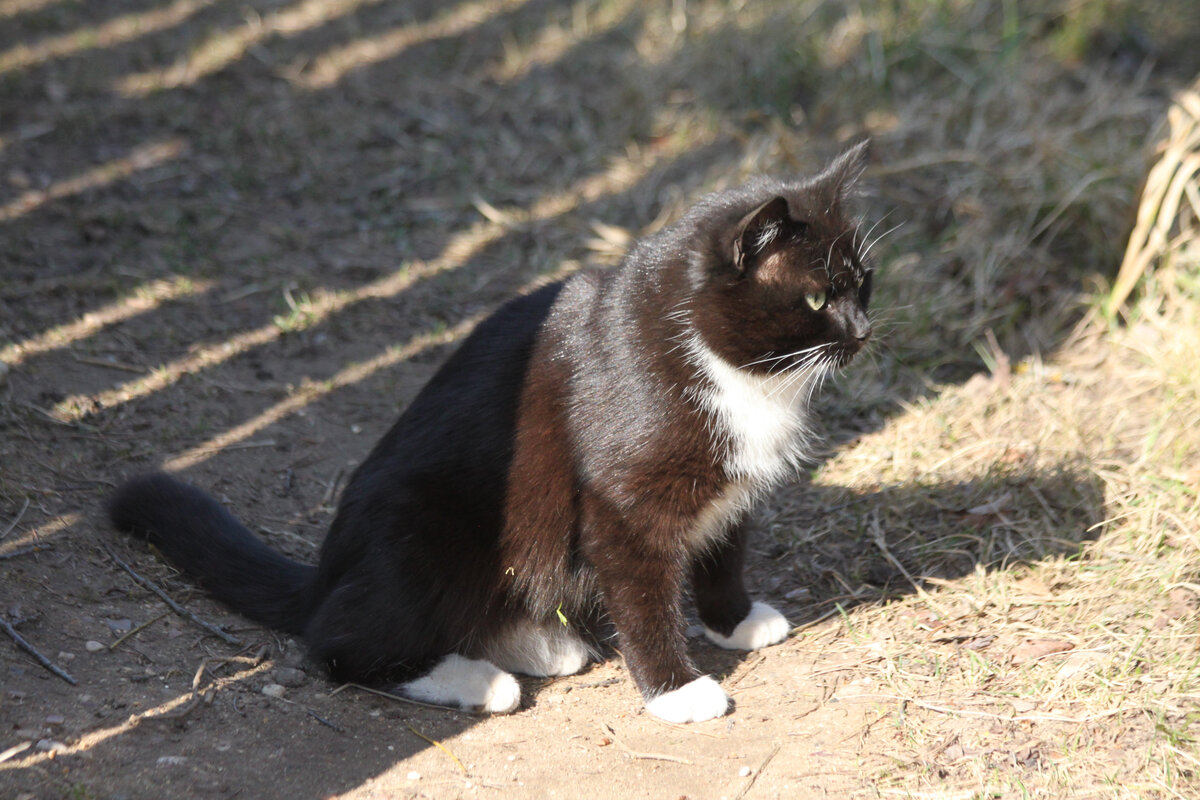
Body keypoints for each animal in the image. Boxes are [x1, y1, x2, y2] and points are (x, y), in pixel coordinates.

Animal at [108, 143, 878, 724]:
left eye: (865, 280)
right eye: (817, 297)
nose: (865, 331)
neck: (732, 371)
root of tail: (327, 567)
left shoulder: (730, 492)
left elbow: (724, 553)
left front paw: (735, 620)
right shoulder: (621, 504)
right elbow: (642, 593)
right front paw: (676, 689)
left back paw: (542, 644)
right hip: (425, 530)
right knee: (336, 641)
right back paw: (478, 681)